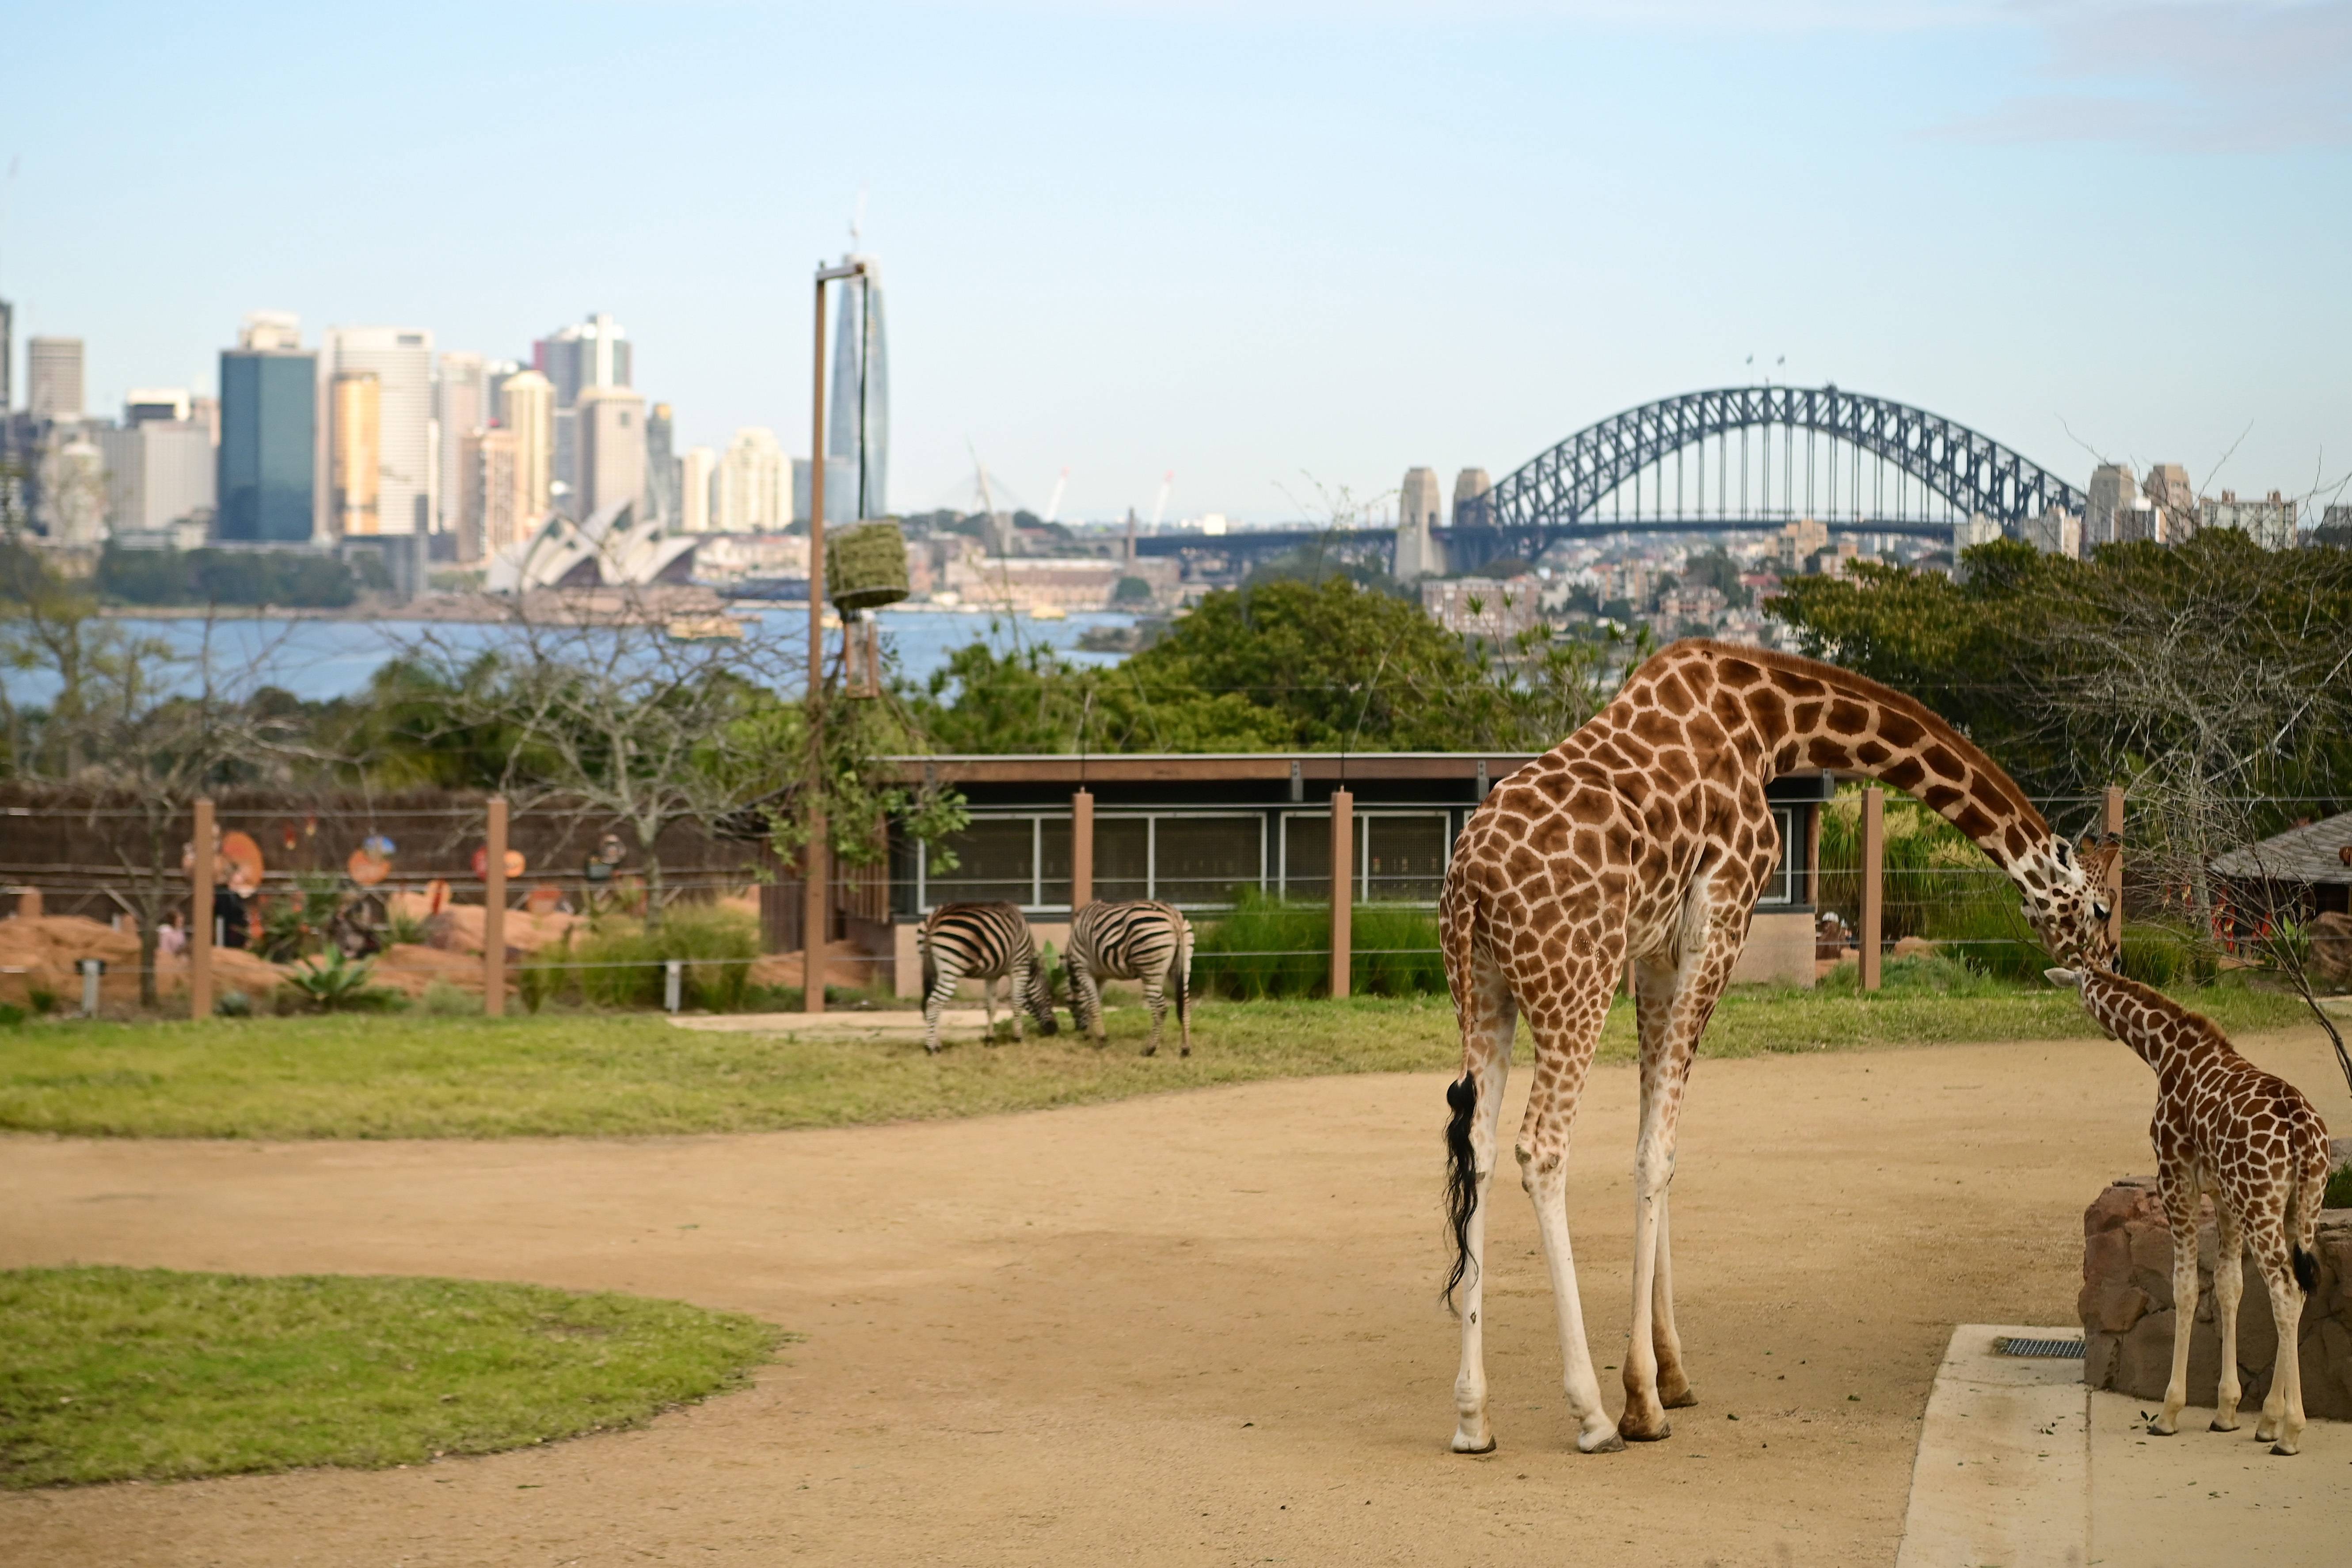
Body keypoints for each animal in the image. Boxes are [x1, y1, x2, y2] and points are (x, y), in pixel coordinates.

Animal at [912, 907, 1063, 1053]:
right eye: (1049, 998)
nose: (1054, 1029)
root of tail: (936, 917)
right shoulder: (1019, 967)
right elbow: (1017, 1003)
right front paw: (1018, 1038)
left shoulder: (992, 976)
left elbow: (991, 1007)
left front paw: (989, 1039)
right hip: (951, 970)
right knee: (934, 1003)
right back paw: (931, 1048)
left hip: (933, 967)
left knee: (935, 1005)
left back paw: (937, 1043)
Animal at [1068, 902, 1195, 1062]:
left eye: (1070, 1005)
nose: (1079, 1029)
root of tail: (1172, 914)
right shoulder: (1101, 976)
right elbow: (1094, 1003)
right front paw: (1093, 1035)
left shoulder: (1083, 969)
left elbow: (1093, 1004)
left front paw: (1101, 1039)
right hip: (1184, 965)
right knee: (1186, 1005)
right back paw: (1185, 1049)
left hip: (1150, 968)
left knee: (1161, 1009)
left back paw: (1149, 1049)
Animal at [1430, 639, 2116, 1457]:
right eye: (2101, 906)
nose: (2111, 963)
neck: (1770, 721)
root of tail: (1470, 879)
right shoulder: (1722, 915)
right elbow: (1658, 1150)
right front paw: (1640, 1402)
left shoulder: (1655, 950)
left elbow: (1652, 1143)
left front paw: (1670, 1375)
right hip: (1574, 980)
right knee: (1540, 1149)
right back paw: (1590, 1415)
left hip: (1483, 988)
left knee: (1479, 1145)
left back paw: (1472, 1416)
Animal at [2041, 968, 2333, 1457]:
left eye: (2080, 988)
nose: (2100, 1026)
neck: (2169, 1053)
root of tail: (2301, 1132)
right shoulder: (2225, 1198)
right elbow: (2230, 1286)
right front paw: (2228, 1413)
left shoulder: (2176, 1180)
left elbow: (2186, 1288)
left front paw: (2168, 1413)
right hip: (2301, 1204)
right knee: (2299, 1289)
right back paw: (2270, 1423)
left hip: (2262, 1203)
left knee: (2285, 1290)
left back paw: (2290, 1433)